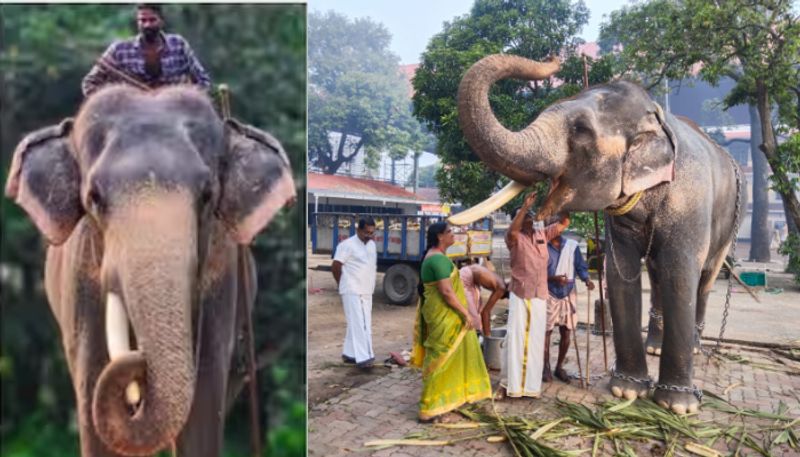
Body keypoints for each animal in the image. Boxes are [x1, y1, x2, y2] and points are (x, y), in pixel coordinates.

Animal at [3, 83, 296, 454]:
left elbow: (205, 395)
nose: (139, 361)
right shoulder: (80, 281)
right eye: (94, 197)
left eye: (207, 196)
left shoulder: (223, 277)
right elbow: (91, 381)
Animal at [456, 54, 744, 414]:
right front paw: (626, 391)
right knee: (657, 276)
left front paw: (677, 406)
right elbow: (621, 276)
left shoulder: (690, 201)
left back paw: (693, 347)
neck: (656, 117)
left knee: (704, 277)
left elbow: (680, 275)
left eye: (580, 130)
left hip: (732, 220)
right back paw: (653, 348)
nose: (553, 60)